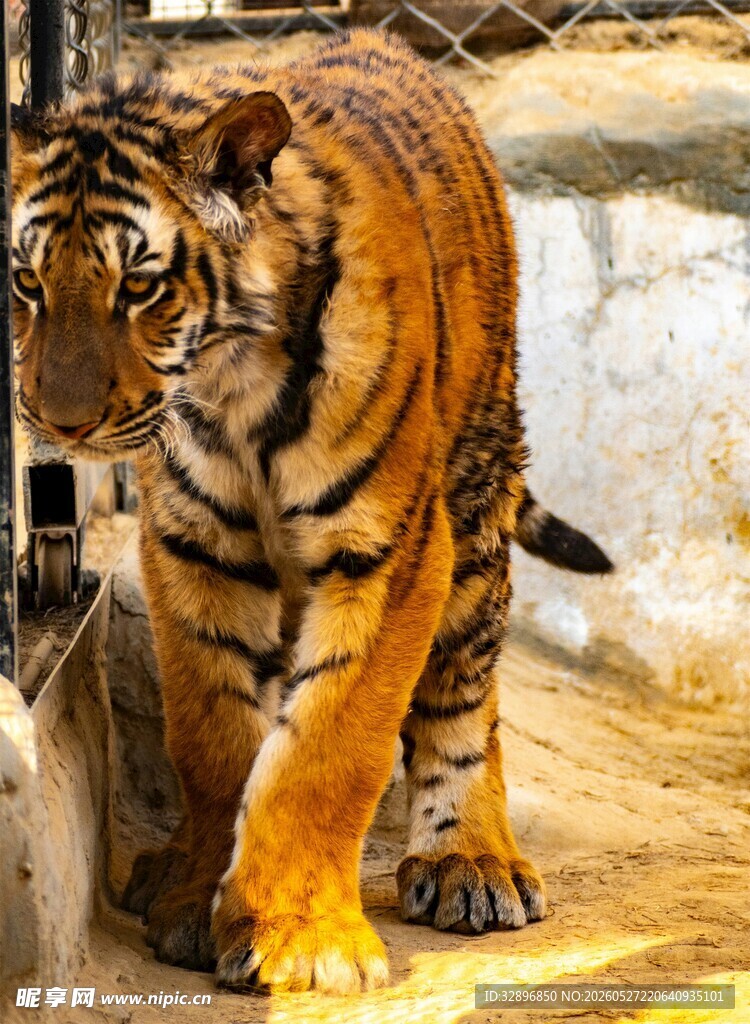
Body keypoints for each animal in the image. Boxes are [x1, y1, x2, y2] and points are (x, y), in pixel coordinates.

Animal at [10, 29, 612, 994]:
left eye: (139, 288)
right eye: (28, 281)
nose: (57, 422)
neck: (230, 387)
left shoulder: (393, 548)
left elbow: (329, 744)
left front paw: (301, 939)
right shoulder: (195, 544)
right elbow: (216, 734)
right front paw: (195, 901)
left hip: (477, 493)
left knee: (465, 692)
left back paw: (471, 862)